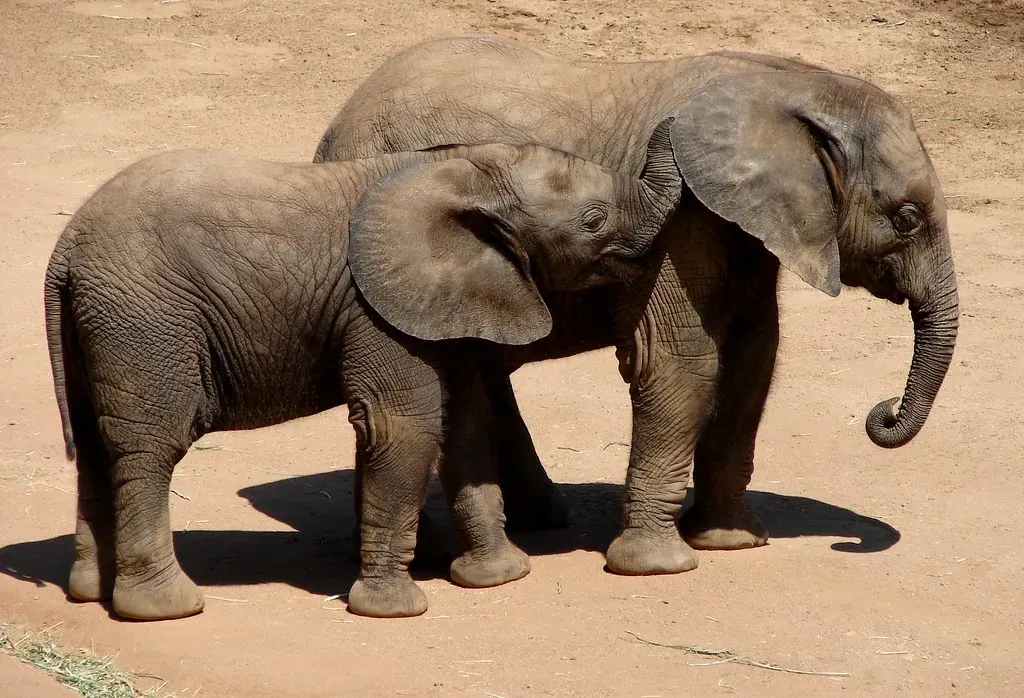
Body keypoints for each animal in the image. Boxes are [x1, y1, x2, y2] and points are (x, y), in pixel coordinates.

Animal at [43, 123, 683, 620]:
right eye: (594, 221)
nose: (672, 121)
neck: (464, 169)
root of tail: (65, 248)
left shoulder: (450, 298)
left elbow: (464, 424)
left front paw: (498, 576)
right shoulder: (377, 309)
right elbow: (404, 428)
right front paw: (396, 610)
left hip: (101, 324)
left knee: (96, 444)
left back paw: (89, 593)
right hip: (145, 322)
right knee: (151, 447)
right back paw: (164, 608)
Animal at [315, 35, 960, 577]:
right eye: (906, 218)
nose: (882, 414)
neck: (795, 85)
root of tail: (335, 125)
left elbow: (754, 355)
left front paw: (730, 541)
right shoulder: (686, 220)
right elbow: (681, 361)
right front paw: (657, 565)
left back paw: (537, 519)